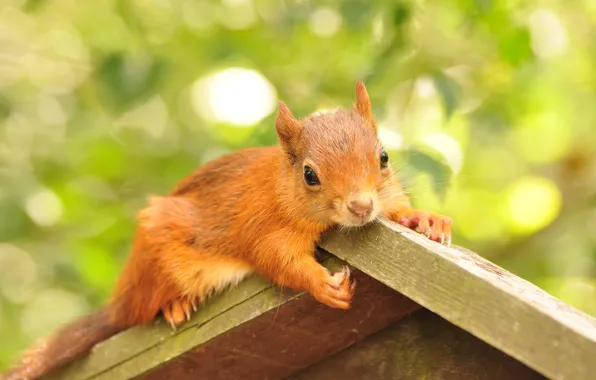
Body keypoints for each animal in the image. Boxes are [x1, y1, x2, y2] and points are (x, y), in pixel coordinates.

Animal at [2, 79, 452, 378]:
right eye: (310, 175)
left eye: (384, 157)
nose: (361, 206)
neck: (282, 187)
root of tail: (119, 301)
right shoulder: (265, 225)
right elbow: (277, 259)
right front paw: (321, 284)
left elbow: (398, 211)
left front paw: (426, 219)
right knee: (139, 312)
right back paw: (174, 305)